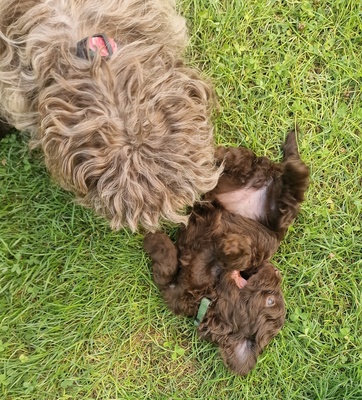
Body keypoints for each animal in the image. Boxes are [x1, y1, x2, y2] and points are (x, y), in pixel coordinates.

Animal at [144, 130, 308, 376]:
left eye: (271, 301)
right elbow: (168, 266)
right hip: (253, 188)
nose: (276, 272)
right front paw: (156, 241)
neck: (211, 293)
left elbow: (169, 270)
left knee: (293, 184)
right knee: (245, 161)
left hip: (273, 207)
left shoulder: (174, 291)